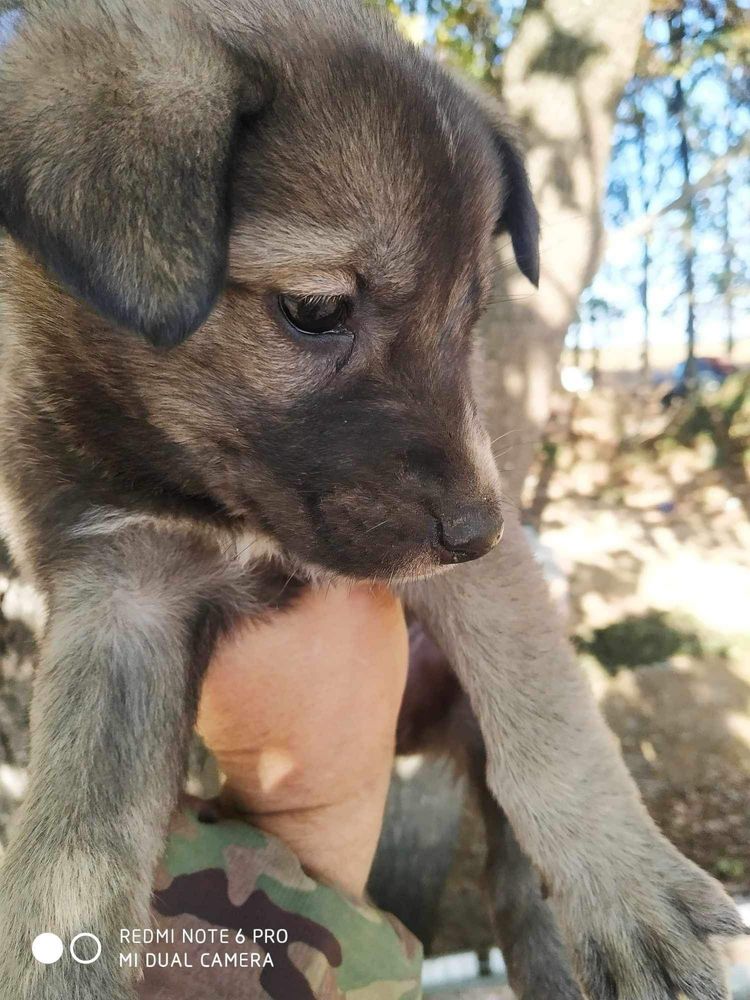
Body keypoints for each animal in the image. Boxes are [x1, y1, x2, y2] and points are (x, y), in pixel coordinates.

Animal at [0, 1, 744, 1000]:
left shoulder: (477, 567)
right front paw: (50, 958)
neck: (211, 498)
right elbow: (71, 852)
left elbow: (553, 728)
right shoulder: (118, 593)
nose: (480, 529)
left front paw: (627, 885)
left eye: (470, 318)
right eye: (317, 309)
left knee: (513, 868)